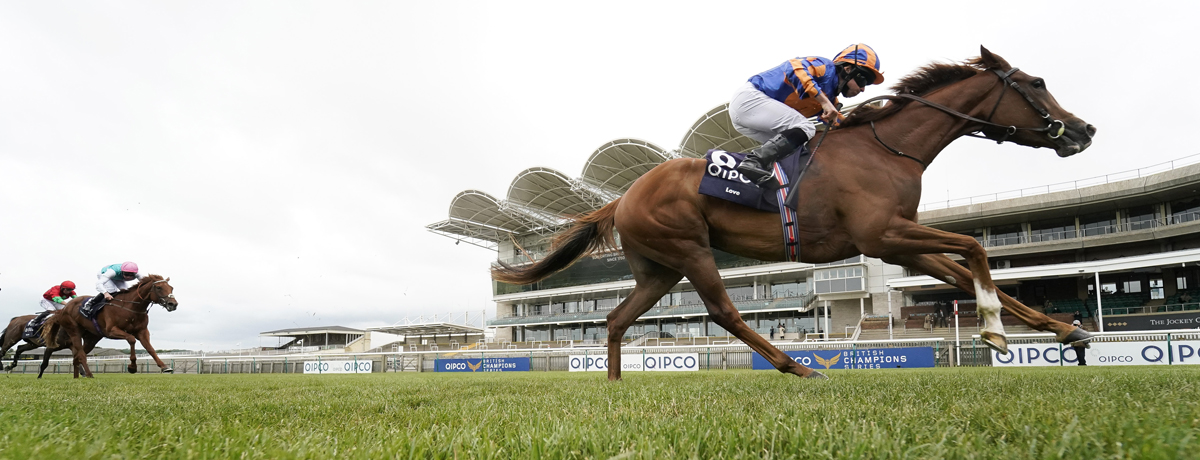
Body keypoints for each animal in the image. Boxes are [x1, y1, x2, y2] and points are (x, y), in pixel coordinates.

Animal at [41, 273, 177, 379]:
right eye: (159, 287)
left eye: (171, 288)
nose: (173, 304)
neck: (131, 307)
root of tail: (63, 309)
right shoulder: (111, 331)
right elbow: (131, 339)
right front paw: (132, 367)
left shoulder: (142, 331)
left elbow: (150, 348)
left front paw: (164, 367)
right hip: (74, 331)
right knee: (81, 354)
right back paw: (89, 374)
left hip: (91, 338)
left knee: (77, 356)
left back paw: (76, 377)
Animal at [489, 45, 1099, 381]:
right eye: (1037, 82)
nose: (1085, 129)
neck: (887, 148)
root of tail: (624, 195)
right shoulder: (883, 235)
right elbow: (974, 249)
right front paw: (995, 331)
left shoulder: (896, 239)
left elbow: (966, 268)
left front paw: (1066, 330)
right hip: (688, 248)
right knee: (724, 313)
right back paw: (796, 365)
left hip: (658, 269)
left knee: (617, 319)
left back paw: (615, 385)